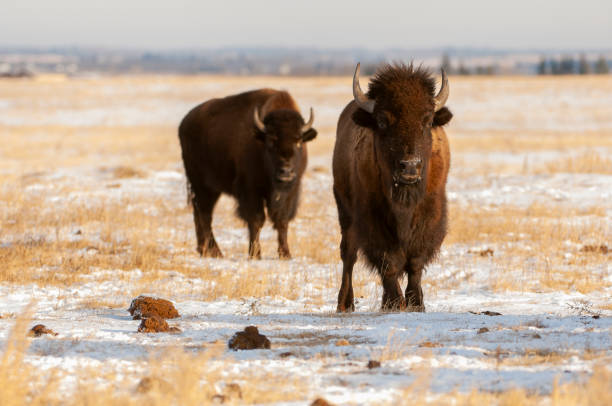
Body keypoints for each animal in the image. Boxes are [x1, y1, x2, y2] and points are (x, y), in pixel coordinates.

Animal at [177, 89, 318, 260]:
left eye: (298, 142)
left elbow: (282, 220)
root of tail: (185, 123)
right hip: (202, 185)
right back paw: (216, 252)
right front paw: (255, 254)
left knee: (199, 214)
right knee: (205, 215)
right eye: (271, 141)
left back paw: (204, 250)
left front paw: (286, 254)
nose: (286, 172)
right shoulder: (250, 190)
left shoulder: (291, 191)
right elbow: (256, 220)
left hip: (209, 189)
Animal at [332, 62, 452, 310]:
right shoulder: (372, 217)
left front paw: (416, 303)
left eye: (427, 121)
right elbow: (389, 262)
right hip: (345, 212)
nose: (410, 166)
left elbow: (415, 262)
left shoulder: (431, 215)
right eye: (382, 121)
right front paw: (395, 302)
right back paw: (345, 304)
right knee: (348, 254)